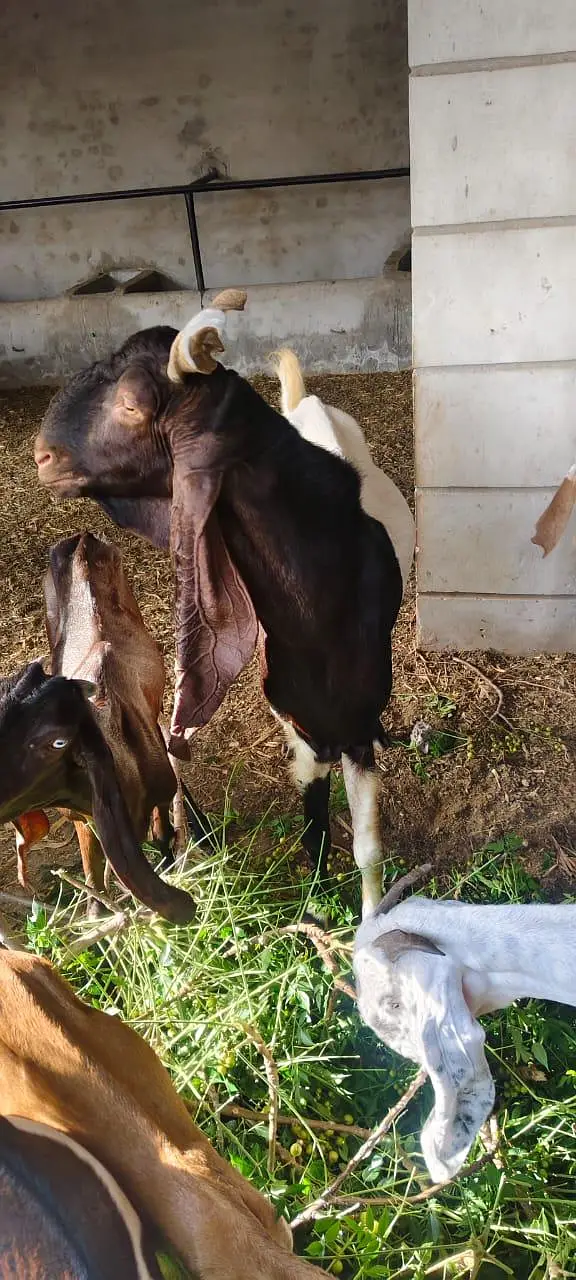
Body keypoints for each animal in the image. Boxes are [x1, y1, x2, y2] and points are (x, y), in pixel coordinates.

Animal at [0, 533, 200, 923]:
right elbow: (91, 868)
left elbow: (162, 833)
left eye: (57, 742)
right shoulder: (81, 815)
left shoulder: (159, 790)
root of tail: (81, 540)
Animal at [34, 294, 406, 914]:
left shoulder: (356, 723)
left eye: (132, 404)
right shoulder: (299, 721)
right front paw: (314, 901)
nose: (41, 457)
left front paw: (370, 919)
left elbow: (368, 848)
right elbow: (314, 819)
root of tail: (306, 401)